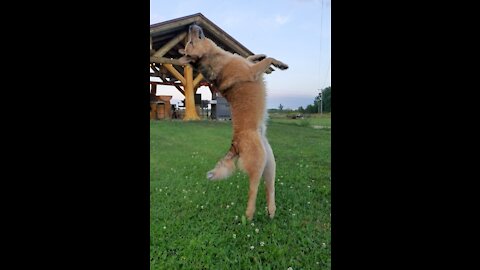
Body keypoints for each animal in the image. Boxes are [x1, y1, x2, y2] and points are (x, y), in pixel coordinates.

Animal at [177, 24, 286, 220]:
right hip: (259, 164)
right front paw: (277, 63)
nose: (191, 26)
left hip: (270, 163)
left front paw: (262, 56)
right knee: (253, 192)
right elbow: (267, 60)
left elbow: (251, 57)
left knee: (269, 189)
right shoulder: (251, 71)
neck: (218, 58)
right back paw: (249, 217)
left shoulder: (248, 64)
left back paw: (271, 211)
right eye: (190, 42)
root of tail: (235, 144)